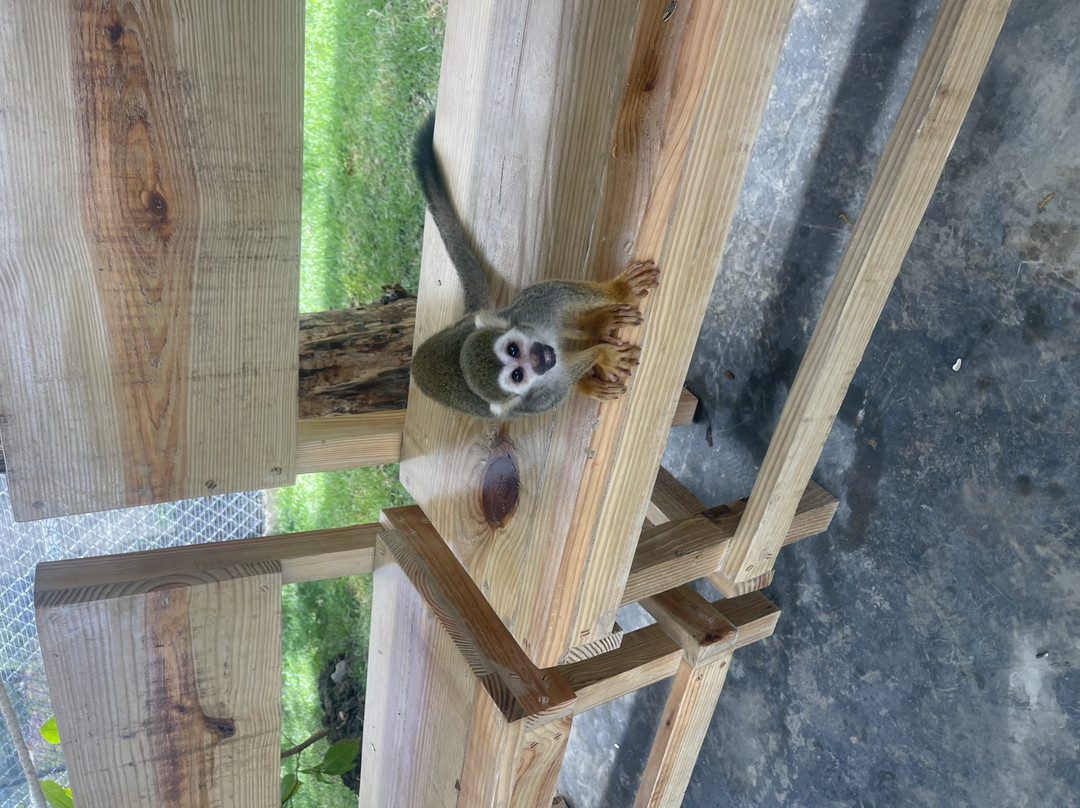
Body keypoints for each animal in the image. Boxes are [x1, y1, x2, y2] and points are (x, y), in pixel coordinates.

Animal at [409, 113, 659, 420]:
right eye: (517, 375)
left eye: (513, 349)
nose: (540, 357)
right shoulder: (538, 398)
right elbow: (564, 376)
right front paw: (603, 354)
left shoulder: (533, 310)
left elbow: (563, 294)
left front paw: (620, 291)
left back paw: (594, 327)